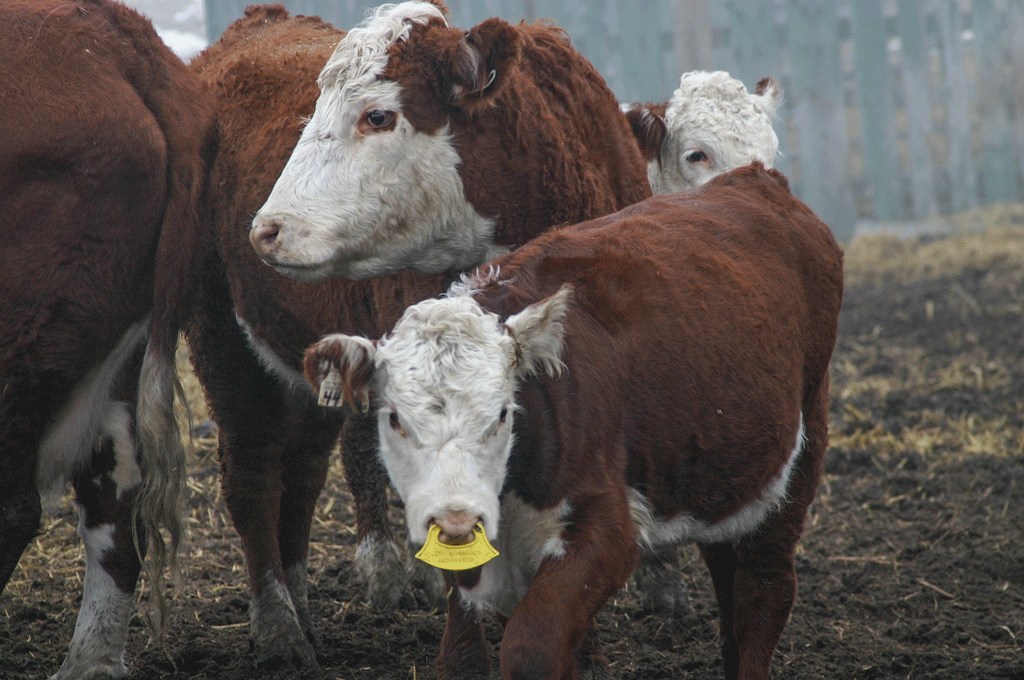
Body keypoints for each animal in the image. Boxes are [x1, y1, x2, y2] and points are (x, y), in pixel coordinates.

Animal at [187, 1, 649, 670]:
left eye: (378, 114)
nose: (268, 229)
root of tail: (256, 22)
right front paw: (464, 658)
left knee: (302, 474)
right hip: (221, 337)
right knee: (251, 474)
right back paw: (278, 629)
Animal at [304, 163, 844, 680]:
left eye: (502, 414)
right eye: (394, 418)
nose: (457, 521)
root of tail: (754, 178)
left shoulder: (607, 527)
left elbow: (532, 647)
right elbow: (463, 655)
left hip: (799, 455)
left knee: (763, 589)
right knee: (727, 574)